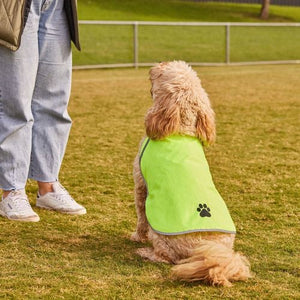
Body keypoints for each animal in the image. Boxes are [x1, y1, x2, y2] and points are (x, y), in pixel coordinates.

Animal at [131, 60, 251, 286]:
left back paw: (145, 252)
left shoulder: (140, 185)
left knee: (165, 257)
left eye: (163, 73)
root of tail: (205, 251)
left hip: (161, 236)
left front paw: (136, 236)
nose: (158, 64)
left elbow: (141, 216)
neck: (180, 130)